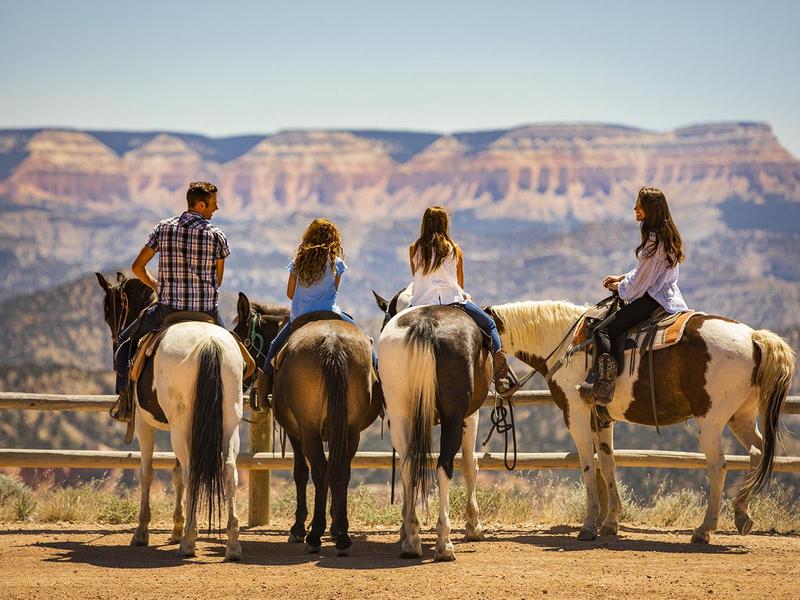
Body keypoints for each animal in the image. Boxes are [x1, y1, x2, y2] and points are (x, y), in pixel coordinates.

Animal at [97, 274, 242, 560]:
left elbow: (147, 473)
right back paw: (232, 544)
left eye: (109, 312)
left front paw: (142, 532)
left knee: (191, 471)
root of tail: (209, 342)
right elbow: (175, 474)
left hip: (180, 426)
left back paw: (189, 541)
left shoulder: (143, 425)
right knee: (229, 470)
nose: (116, 340)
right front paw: (176, 527)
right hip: (228, 420)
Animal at [234, 292, 382, 556]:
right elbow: (334, 472)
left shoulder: (295, 432)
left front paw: (300, 527)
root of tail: (332, 344)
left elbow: (302, 473)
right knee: (341, 470)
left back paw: (314, 535)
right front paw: (334, 526)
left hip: (310, 429)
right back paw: (342, 535)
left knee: (320, 469)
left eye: (239, 337)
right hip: (351, 430)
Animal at [376, 290, 494, 564]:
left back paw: (411, 540)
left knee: (409, 465)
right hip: (453, 417)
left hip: (400, 414)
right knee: (444, 466)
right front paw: (474, 526)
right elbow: (470, 464)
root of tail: (425, 323)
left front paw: (404, 527)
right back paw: (444, 543)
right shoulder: (469, 417)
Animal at [488, 300, 792, 544]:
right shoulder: (602, 419)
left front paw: (589, 526)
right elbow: (607, 465)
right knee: (757, 452)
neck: (567, 345)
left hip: (712, 420)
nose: (503, 386)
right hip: (741, 416)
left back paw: (704, 530)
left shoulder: (576, 414)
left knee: (718, 466)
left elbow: (588, 467)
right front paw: (610, 523)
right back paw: (742, 514)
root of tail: (753, 337)